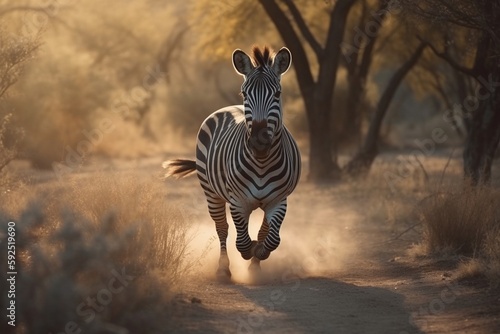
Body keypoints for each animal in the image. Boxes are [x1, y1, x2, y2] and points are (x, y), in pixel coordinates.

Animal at [164, 45, 300, 278]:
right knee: (222, 228)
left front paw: (258, 256)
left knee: (260, 231)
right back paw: (223, 268)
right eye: (245, 93)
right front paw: (250, 250)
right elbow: (242, 242)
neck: (262, 163)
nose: (259, 143)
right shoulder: (238, 201)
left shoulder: (279, 200)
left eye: (278, 93)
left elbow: (271, 239)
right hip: (211, 193)